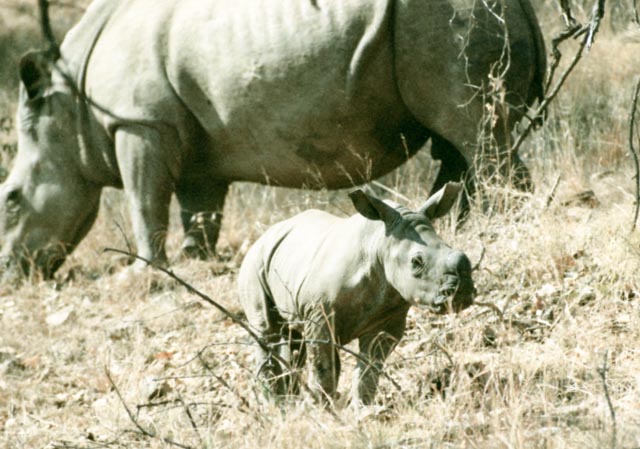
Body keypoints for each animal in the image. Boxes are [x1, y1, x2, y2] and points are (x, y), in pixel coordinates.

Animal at [0, 0, 545, 280]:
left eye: (11, 200)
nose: (12, 273)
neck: (68, 110)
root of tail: (518, 4)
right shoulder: (190, 141)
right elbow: (199, 209)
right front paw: (199, 261)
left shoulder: (139, 122)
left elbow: (144, 201)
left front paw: (144, 276)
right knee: (456, 145)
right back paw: (458, 227)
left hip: (443, 21)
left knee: (472, 131)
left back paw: (502, 228)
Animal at [237, 183, 474, 404]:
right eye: (416, 263)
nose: (461, 292)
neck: (380, 244)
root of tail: (263, 236)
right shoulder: (320, 314)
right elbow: (323, 364)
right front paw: (321, 407)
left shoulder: (386, 320)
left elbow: (370, 369)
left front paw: (361, 409)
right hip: (254, 263)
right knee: (267, 331)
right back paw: (277, 404)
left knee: (294, 338)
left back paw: (288, 401)